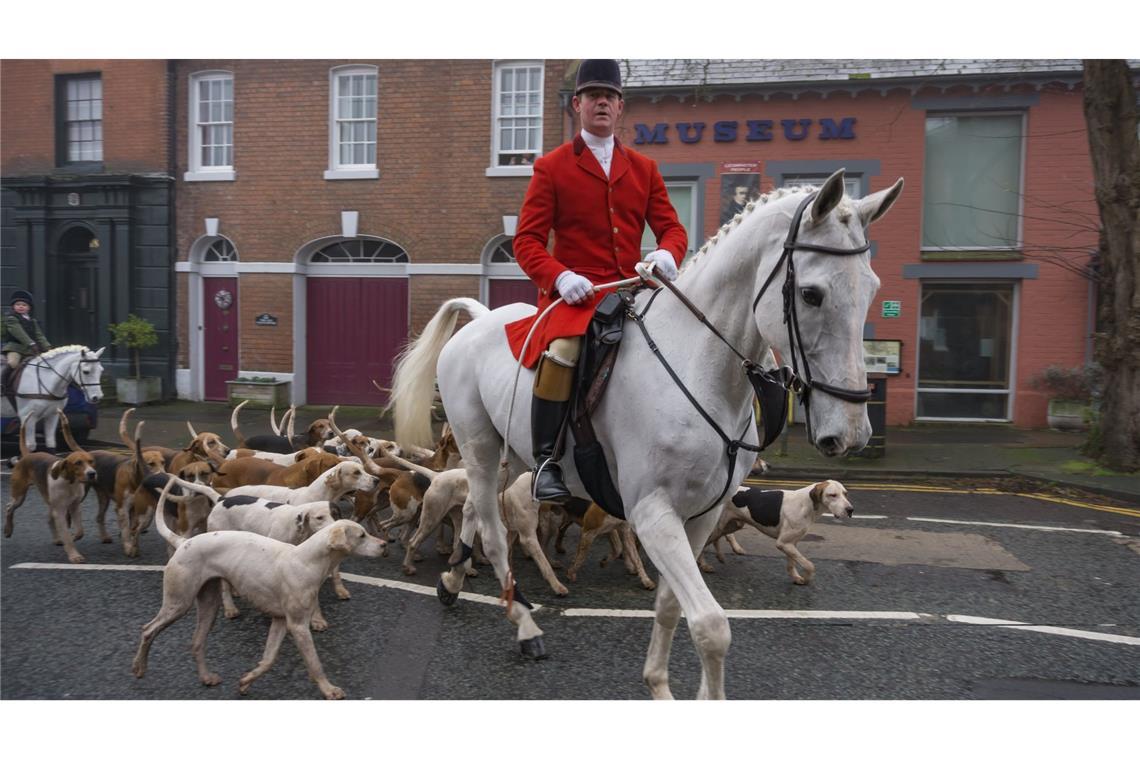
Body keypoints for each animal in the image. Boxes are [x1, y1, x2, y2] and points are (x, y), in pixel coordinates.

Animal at [387, 169, 902, 697]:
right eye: (811, 294)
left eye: (872, 288)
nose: (851, 433)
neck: (698, 367)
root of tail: (479, 319)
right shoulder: (652, 513)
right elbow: (711, 626)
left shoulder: (700, 514)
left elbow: (673, 605)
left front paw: (659, 682)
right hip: (480, 448)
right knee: (492, 530)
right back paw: (524, 624)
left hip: (509, 453)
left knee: (472, 508)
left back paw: (453, 581)